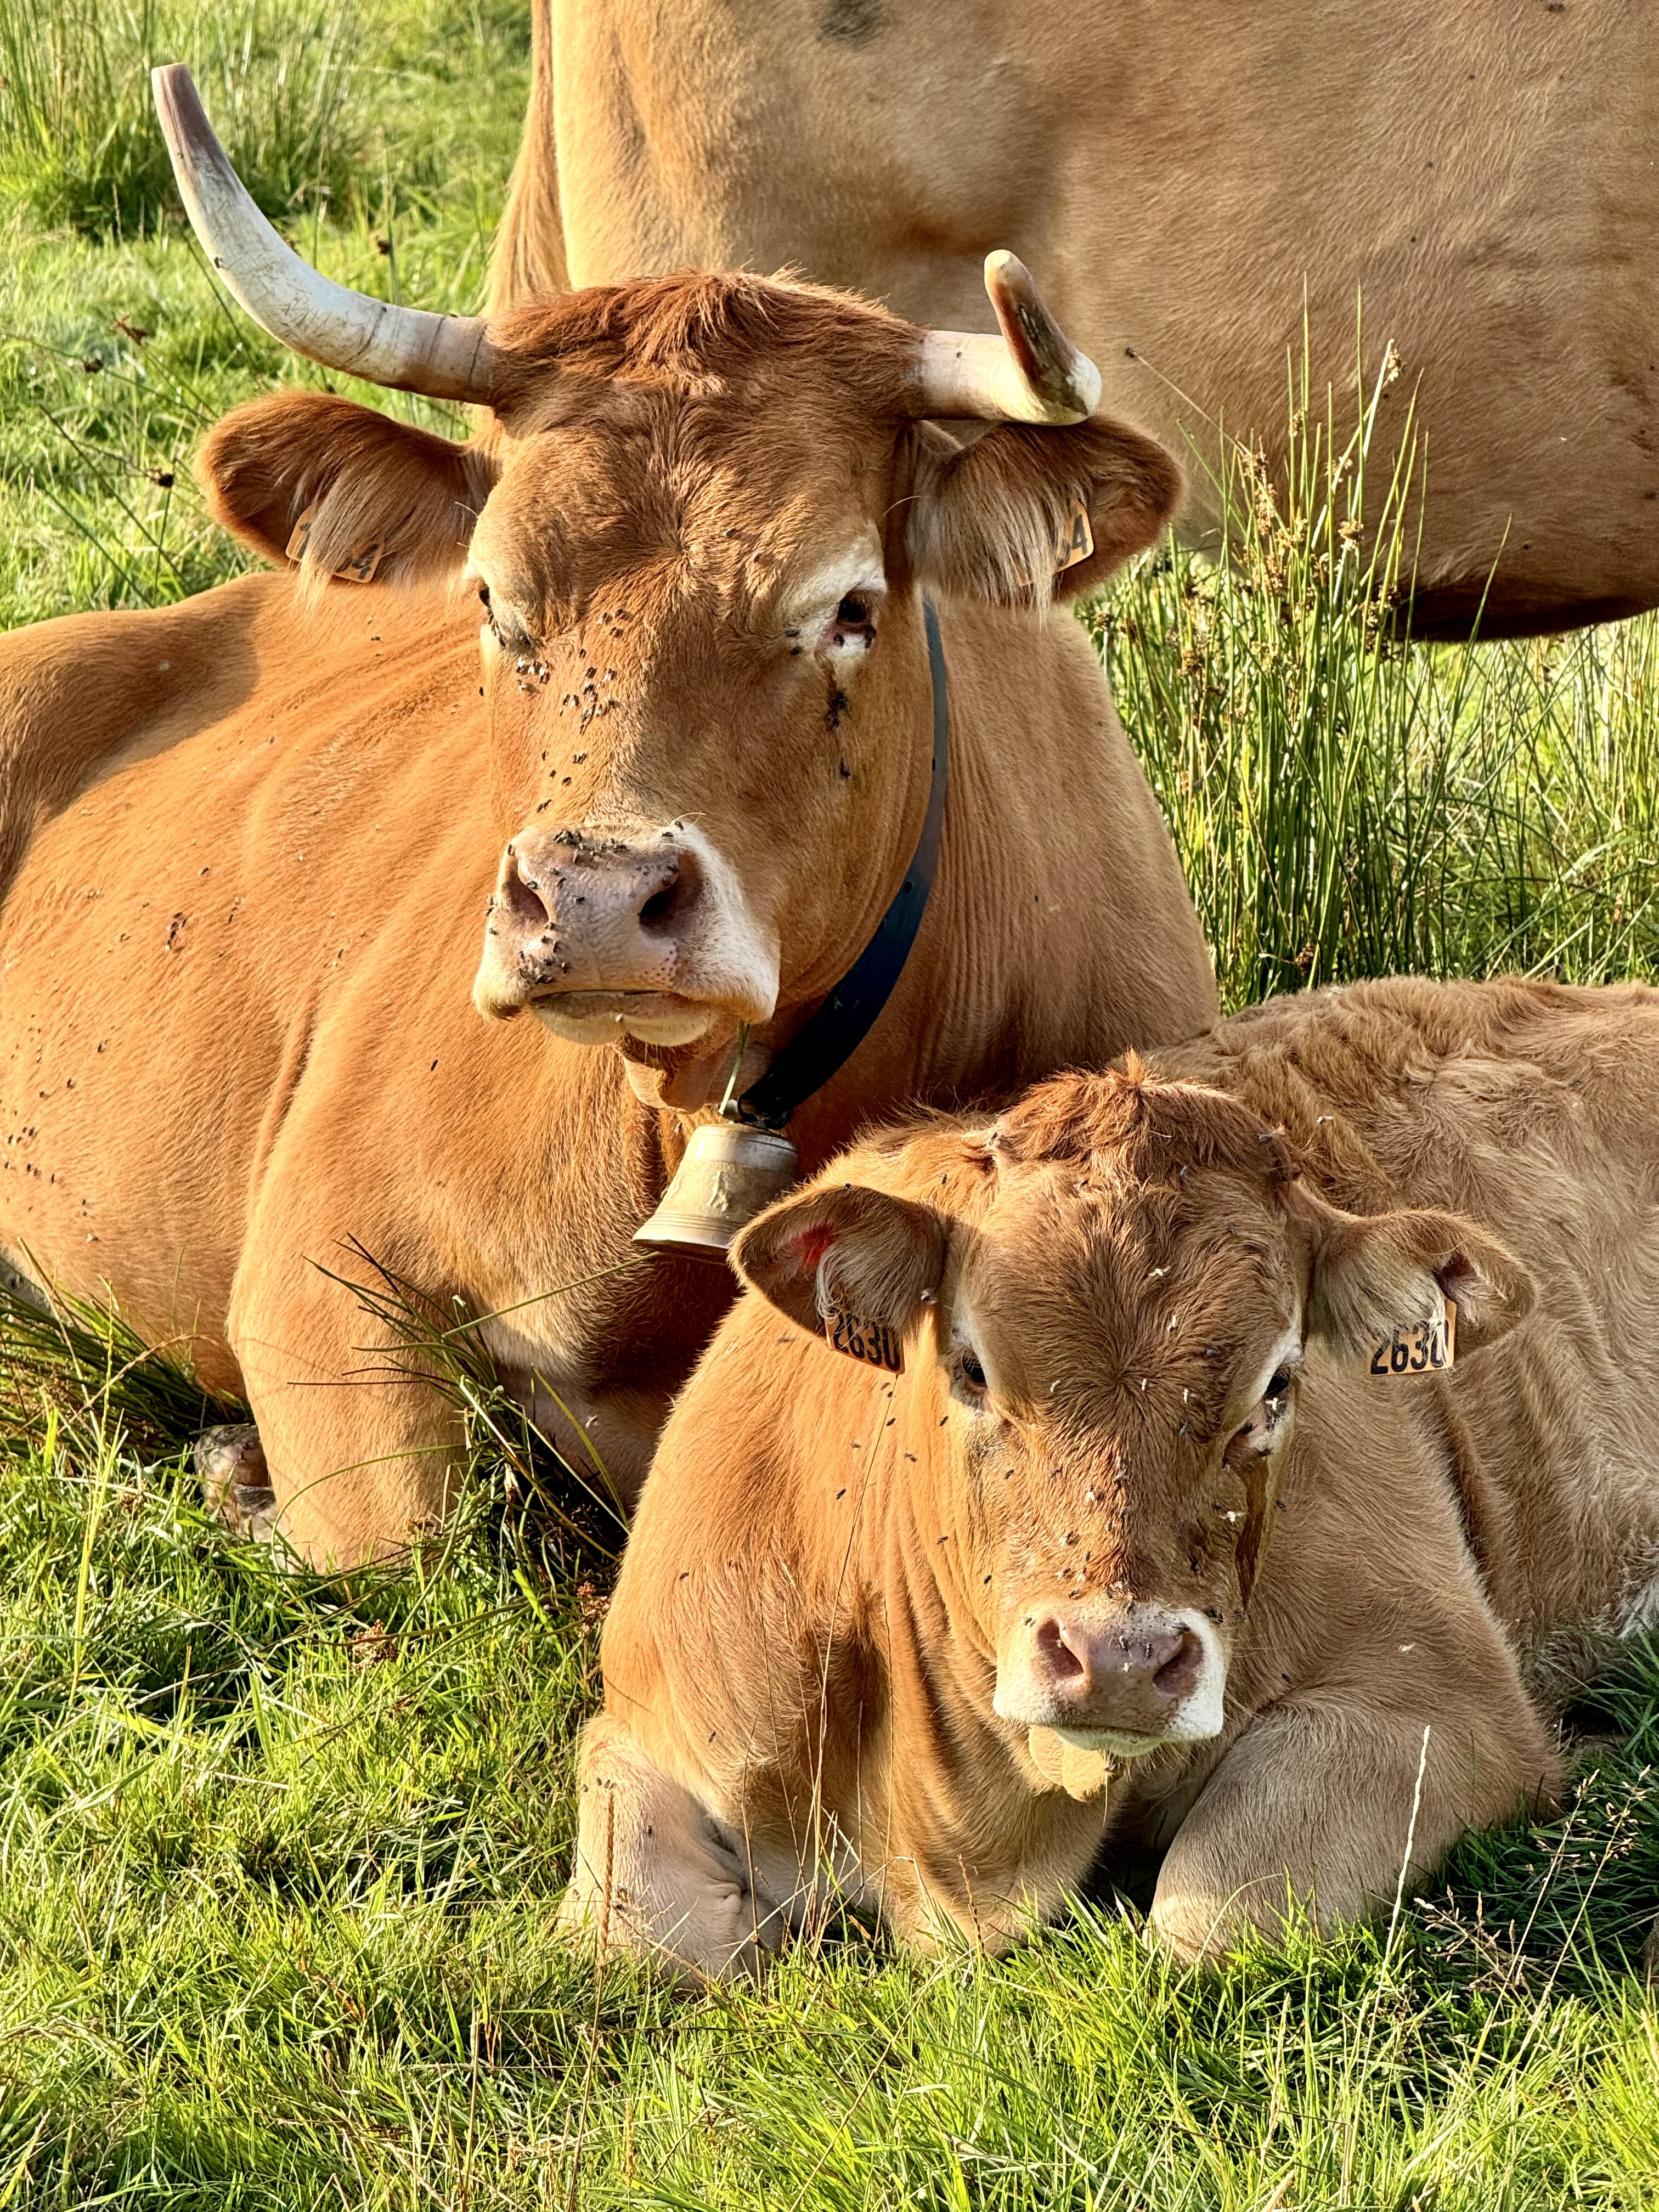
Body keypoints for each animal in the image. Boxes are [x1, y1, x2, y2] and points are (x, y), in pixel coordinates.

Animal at [0, 73, 1216, 1570]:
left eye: (850, 606)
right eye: (489, 596)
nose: (590, 904)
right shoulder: (316, 1279)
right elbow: (413, 1540)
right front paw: (242, 1481)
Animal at [562, 974, 1659, 1976]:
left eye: (1278, 1384)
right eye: (971, 1368)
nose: (1119, 1659)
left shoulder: (1450, 1703)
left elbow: (1207, 1917)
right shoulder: (649, 1716)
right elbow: (635, 1937)